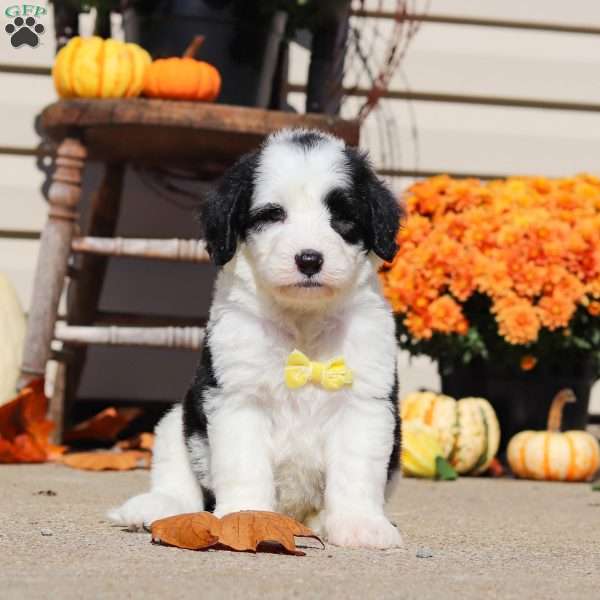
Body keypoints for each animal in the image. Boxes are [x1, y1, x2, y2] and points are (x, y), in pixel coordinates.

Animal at [110, 130, 406, 548]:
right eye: (272, 214)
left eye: (342, 217)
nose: (309, 260)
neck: (302, 323)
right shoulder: (237, 397)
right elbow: (243, 463)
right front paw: (246, 519)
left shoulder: (364, 401)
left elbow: (356, 468)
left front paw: (359, 524)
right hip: (178, 417)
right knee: (176, 470)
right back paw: (154, 507)